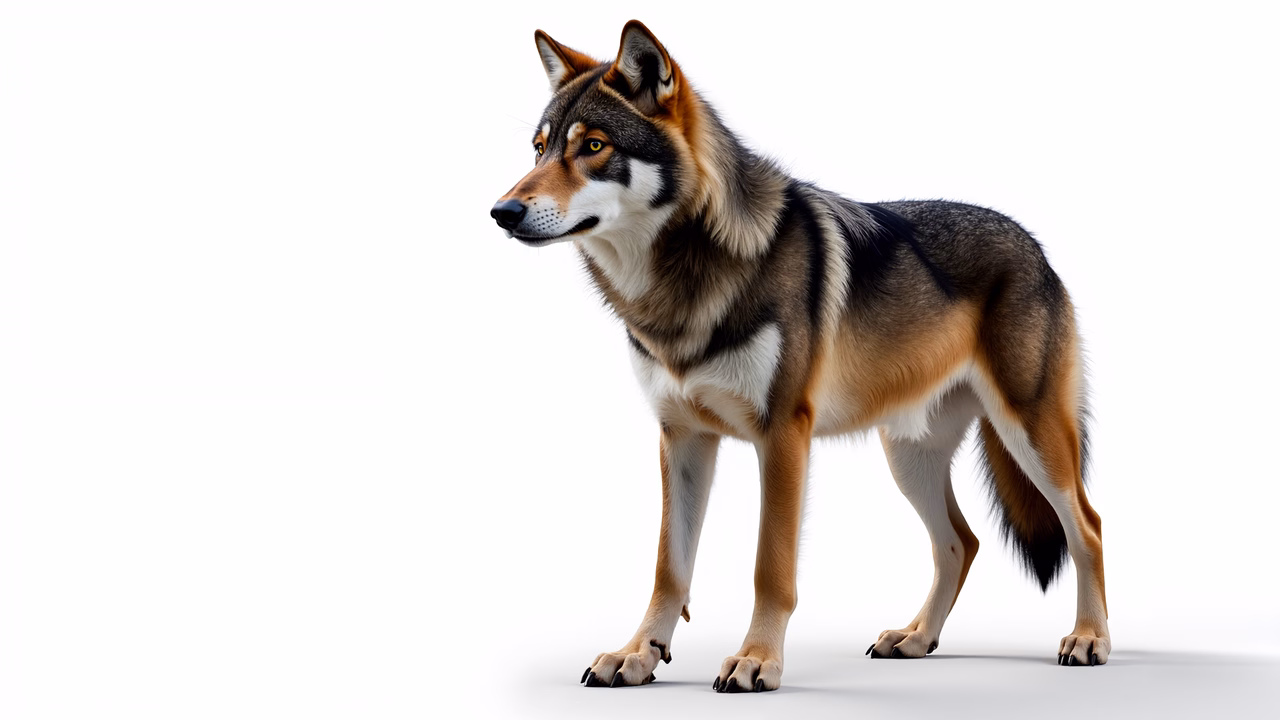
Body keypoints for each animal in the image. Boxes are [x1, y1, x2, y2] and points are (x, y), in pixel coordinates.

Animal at [490, 20, 1109, 692]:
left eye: (595, 146)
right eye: (539, 149)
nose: (502, 212)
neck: (678, 286)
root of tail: (1035, 246)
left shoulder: (783, 434)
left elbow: (771, 566)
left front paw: (756, 660)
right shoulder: (680, 438)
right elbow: (668, 567)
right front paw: (639, 654)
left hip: (1030, 437)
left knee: (1088, 527)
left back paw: (1088, 639)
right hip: (908, 457)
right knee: (961, 543)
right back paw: (917, 638)